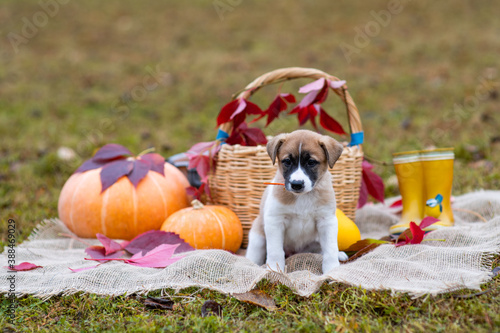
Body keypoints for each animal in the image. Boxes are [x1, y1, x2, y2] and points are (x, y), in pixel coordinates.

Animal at [245, 129, 348, 272]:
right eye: (287, 161)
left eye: (311, 162)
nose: (297, 184)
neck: (303, 197)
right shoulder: (275, 221)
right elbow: (275, 251)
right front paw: (275, 270)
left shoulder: (327, 221)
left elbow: (331, 249)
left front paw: (332, 269)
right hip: (257, 237)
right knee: (254, 254)